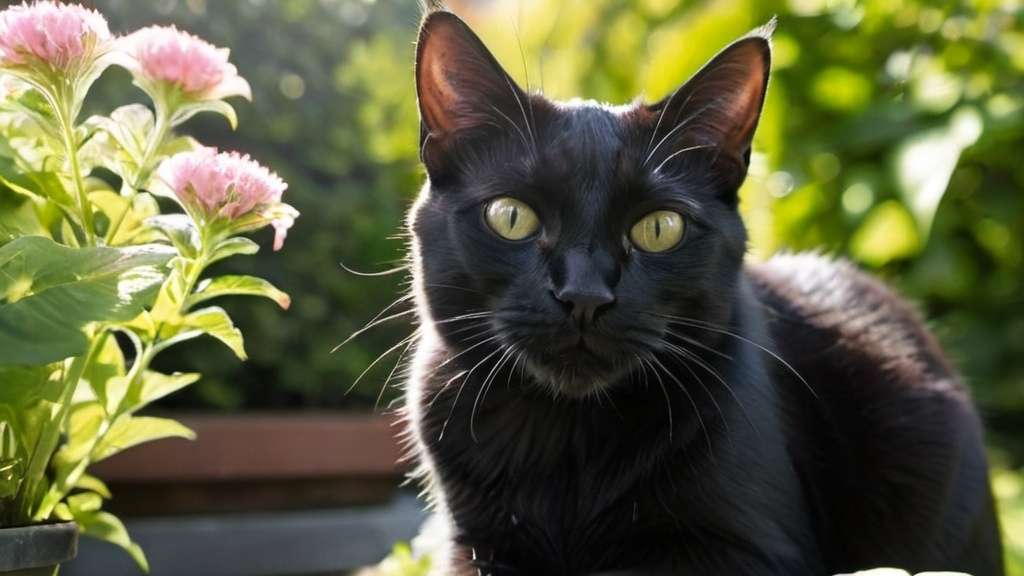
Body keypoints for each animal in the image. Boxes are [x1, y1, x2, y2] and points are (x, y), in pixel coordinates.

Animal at [397, 8, 999, 573]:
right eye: (511, 217)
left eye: (660, 228)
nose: (585, 296)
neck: (567, 440)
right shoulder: (477, 544)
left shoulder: (747, 547)